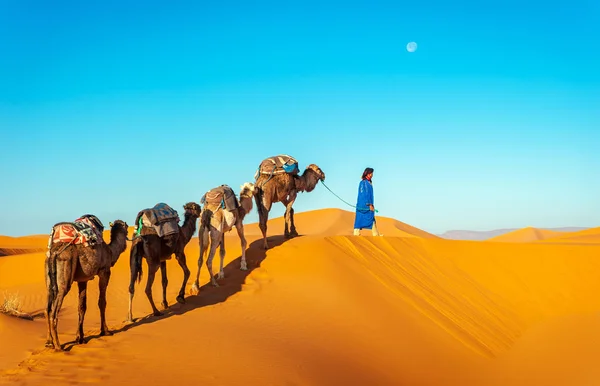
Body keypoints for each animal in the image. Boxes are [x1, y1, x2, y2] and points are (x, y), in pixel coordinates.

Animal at [44, 219, 129, 352]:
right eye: (127, 227)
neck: (110, 252)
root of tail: (54, 252)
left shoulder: (82, 280)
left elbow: (82, 307)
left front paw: (80, 338)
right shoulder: (104, 272)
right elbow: (102, 302)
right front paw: (105, 331)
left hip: (48, 279)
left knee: (47, 308)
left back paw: (49, 342)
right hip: (65, 275)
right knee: (54, 310)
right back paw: (58, 346)